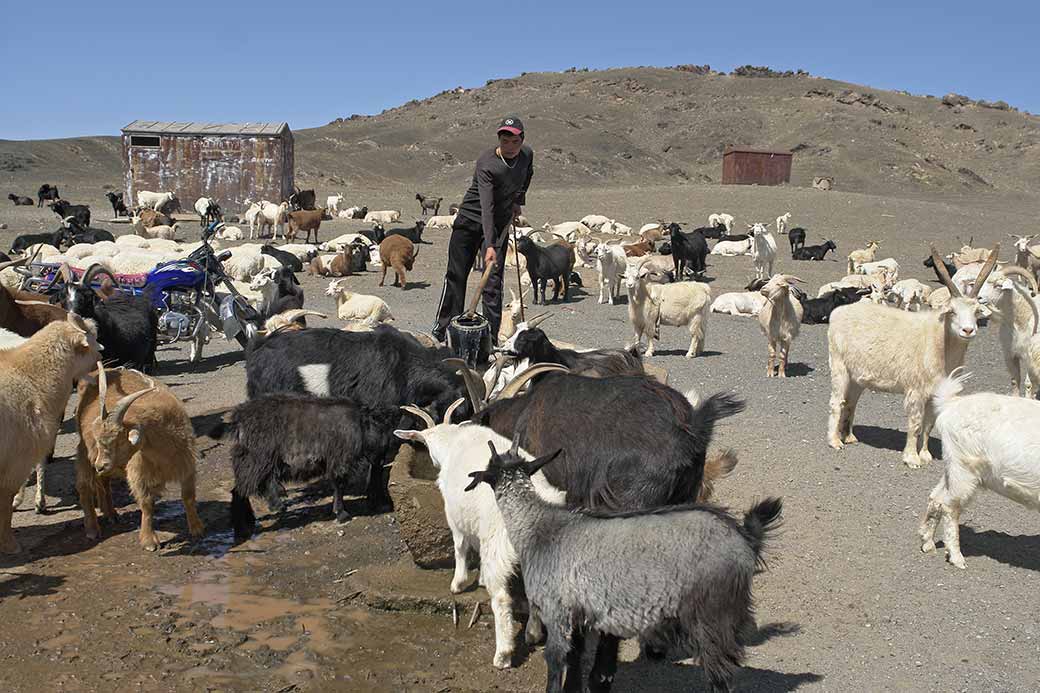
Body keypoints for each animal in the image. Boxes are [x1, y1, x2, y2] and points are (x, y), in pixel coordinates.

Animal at [209, 393, 395, 541]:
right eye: (382, 432)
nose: (382, 459)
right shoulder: (339, 460)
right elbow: (339, 486)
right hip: (255, 460)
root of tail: (239, 419)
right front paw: (342, 514)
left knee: (247, 489)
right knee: (240, 492)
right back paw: (244, 528)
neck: (361, 425)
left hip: (255, 462)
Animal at [465, 437, 782, 690]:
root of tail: (745, 538)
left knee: (720, 674)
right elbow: (575, 660)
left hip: (711, 614)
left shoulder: (557, 612)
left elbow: (555, 663)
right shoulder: (579, 615)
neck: (539, 528)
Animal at [919, 370, 1040, 570]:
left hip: (954, 467)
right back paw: (957, 558)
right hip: (964, 470)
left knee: (936, 498)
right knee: (950, 507)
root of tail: (952, 404)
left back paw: (927, 542)